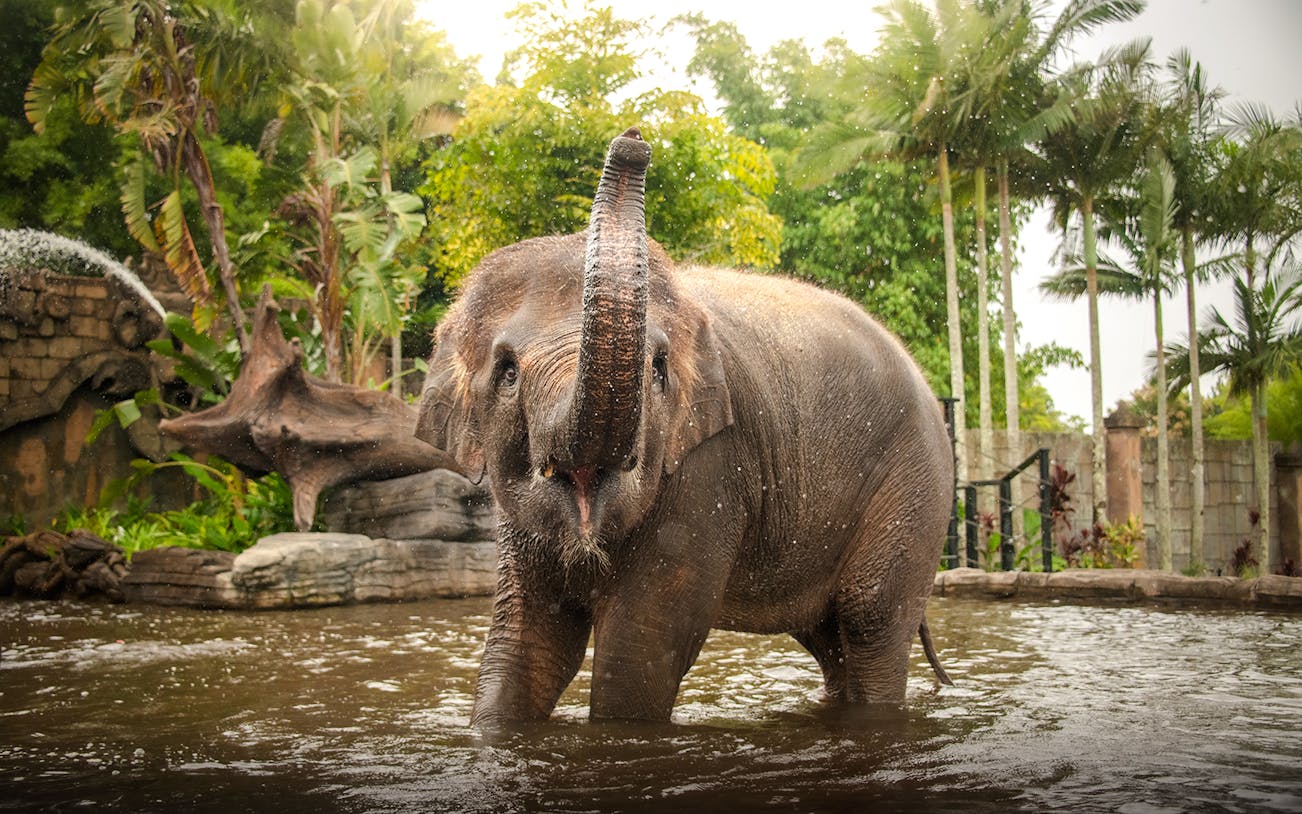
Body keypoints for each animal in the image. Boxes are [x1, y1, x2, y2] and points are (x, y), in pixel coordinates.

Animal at [416, 128, 954, 727]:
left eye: (658, 369)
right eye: (507, 372)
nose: (632, 138)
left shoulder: (710, 466)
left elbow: (643, 641)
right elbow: (528, 638)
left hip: (915, 486)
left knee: (869, 619)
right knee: (829, 638)